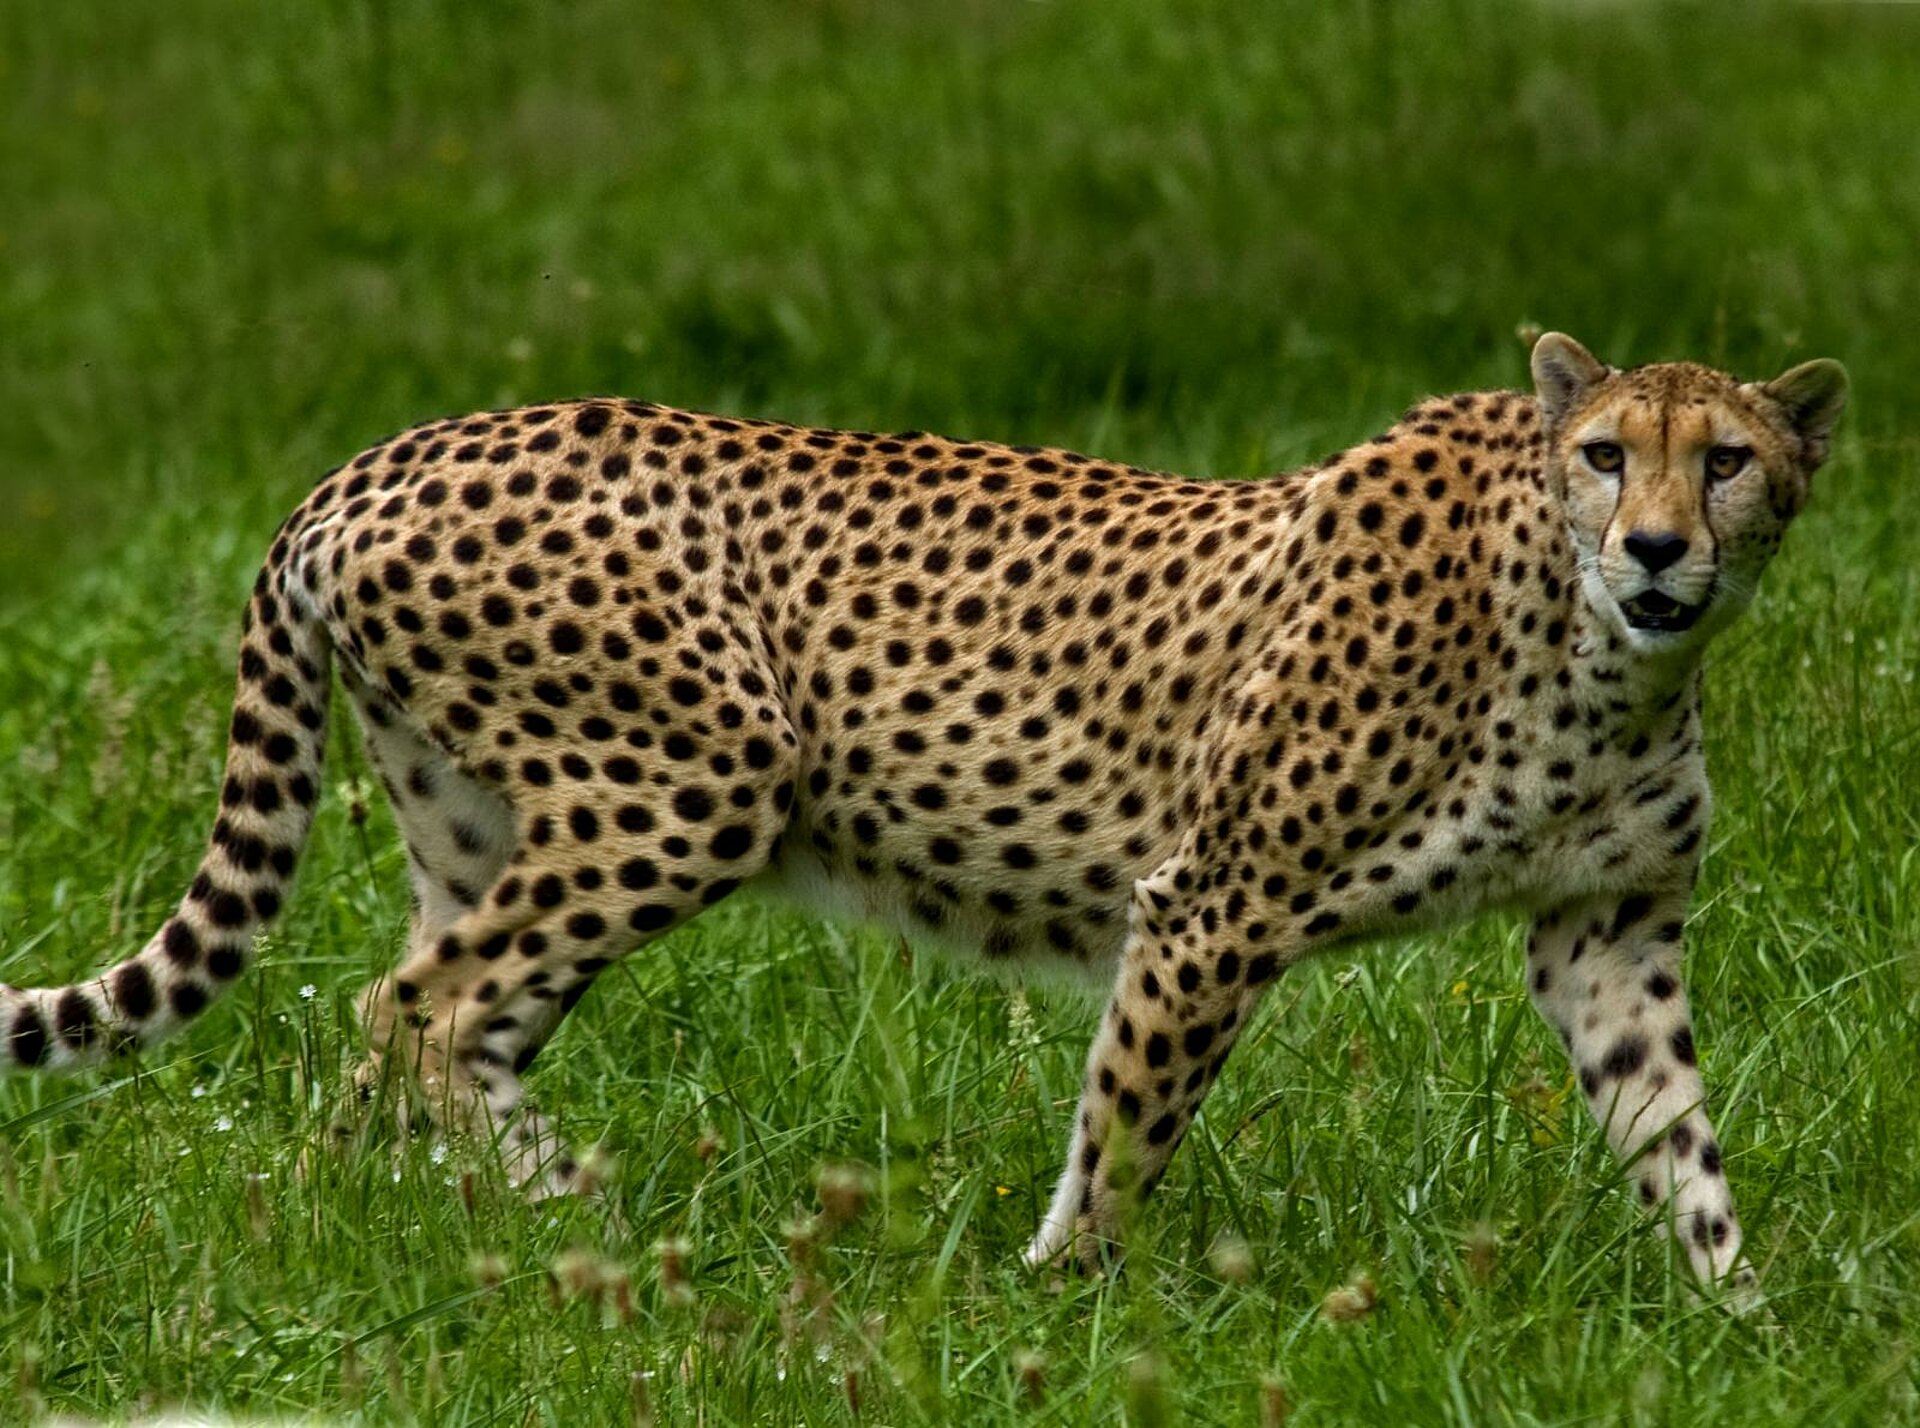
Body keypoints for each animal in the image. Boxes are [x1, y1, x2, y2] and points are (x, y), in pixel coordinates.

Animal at [0, 333, 1843, 1297]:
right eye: (1607, 454)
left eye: (1728, 458)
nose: (1659, 546)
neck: (1598, 643)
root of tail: (377, 456)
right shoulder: (1213, 902)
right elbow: (1129, 1115)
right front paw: (1067, 1298)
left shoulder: (1604, 934)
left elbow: (1676, 1135)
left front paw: (1740, 1320)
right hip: (693, 781)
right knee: (421, 1011)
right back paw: (579, 1217)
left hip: (483, 827)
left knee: (413, 1028)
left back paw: (380, 1233)